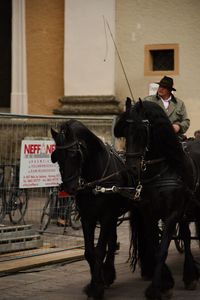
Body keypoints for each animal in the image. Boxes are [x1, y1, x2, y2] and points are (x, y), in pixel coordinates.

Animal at [50, 119, 134, 300]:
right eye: (56, 157)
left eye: (73, 154)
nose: (70, 188)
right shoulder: (87, 217)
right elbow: (89, 252)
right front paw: (96, 282)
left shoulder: (106, 215)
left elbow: (99, 250)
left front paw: (96, 288)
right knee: (112, 239)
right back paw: (108, 273)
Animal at [114, 98, 200, 298]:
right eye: (125, 133)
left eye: (142, 131)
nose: (132, 169)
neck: (161, 170)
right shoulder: (149, 213)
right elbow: (154, 246)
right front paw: (166, 282)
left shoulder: (172, 213)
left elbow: (162, 250)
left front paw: (156, 289)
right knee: (185, 235)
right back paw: (190, 274)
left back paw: (190, 275)